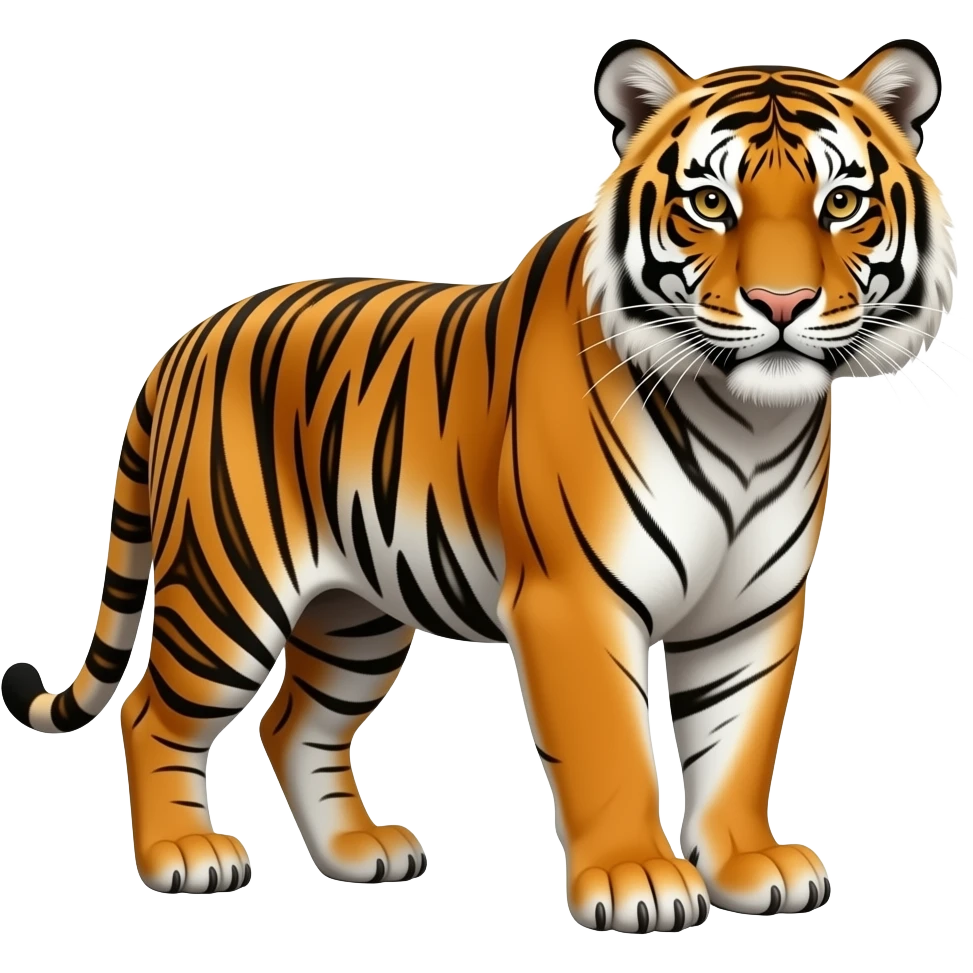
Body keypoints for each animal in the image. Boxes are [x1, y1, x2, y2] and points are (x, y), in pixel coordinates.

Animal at [0, 37, 954, 932]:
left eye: (841, 203)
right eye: (710, 203)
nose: (781, 303)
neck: (748, 420)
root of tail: (182, 343)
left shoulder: (752, 606)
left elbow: (737, 742)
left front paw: (751, 865)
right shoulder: (575, 598)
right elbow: (609, 749)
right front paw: (636, 879)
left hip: (355, 613)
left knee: (293, 721)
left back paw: (358, 851)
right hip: (227, 589)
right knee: (151, 711)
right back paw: (184, 856)